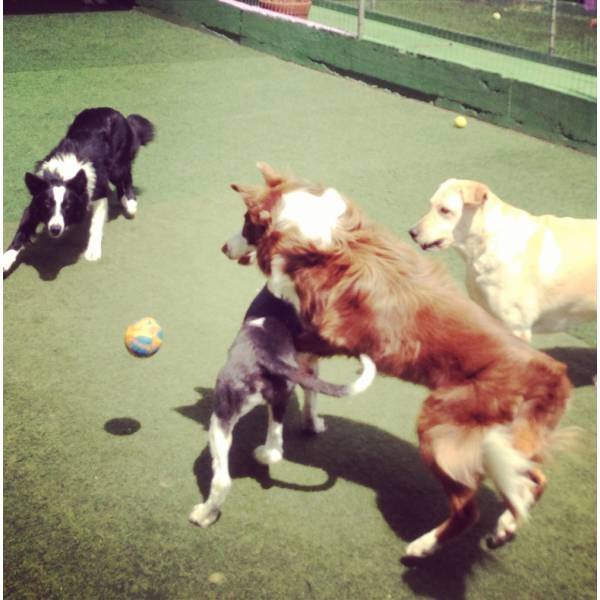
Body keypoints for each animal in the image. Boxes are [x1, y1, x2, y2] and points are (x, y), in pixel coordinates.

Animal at [221, 163, 572, 564]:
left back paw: (422, 547)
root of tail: (550, 373)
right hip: (504, 445)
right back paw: (504, 528)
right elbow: (311, 386)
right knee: (534, 480)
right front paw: (311, 423)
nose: (223, 247)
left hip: (439, 428)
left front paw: (272, 445)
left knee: (468, 509)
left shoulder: (318, 335)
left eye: (246, 223)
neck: (320, 236)